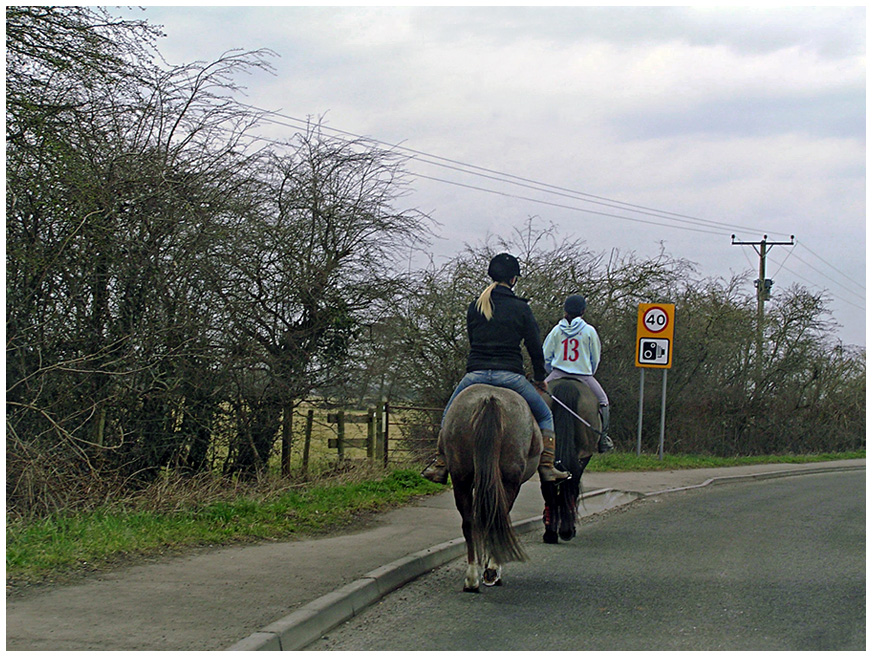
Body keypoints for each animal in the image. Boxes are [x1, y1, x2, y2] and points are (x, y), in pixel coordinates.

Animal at [440, 382, 540, 592]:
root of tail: (490, 399)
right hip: (508, 481)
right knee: (496, 520)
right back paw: (492, 571)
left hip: (461, 478)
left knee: (469, 522)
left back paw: (471, 579)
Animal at [540, 380, 600, 544]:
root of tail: (567, 385)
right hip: (583, 453)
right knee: (572, 484)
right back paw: (566, 530)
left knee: (548, 485)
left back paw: (550, 532)